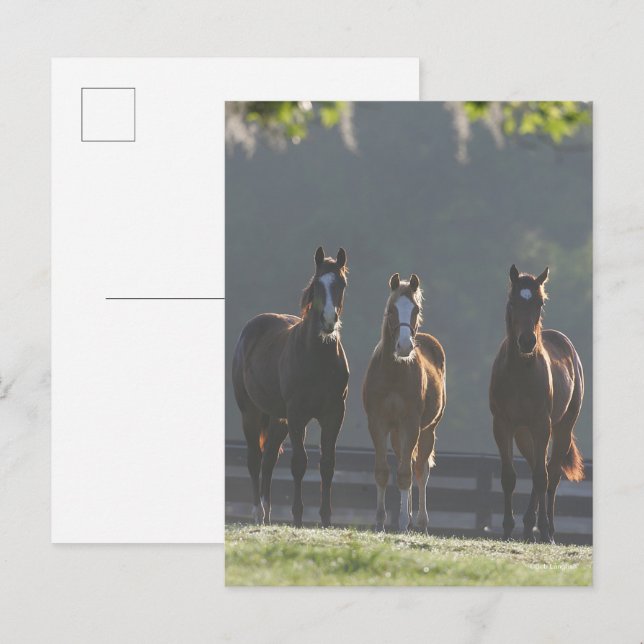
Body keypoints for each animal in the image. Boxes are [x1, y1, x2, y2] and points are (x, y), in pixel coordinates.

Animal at [232, 246, 349, 528]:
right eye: (317, 284)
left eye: (341, 284)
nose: (328, 320)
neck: (318, 358)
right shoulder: (298, 415)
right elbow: (299, 463)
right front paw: (297, 517)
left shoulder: (334, 414)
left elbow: (327, 464)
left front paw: (326, 519)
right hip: (251, 413)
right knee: (255, 460)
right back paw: (257, 513)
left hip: (277, 419)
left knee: (269, 460)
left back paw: (267, 514)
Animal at [363, 273, 446, 532]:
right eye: (391, 310)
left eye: (416, 309)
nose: (405, 346)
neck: (393, 373)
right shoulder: (378, 423)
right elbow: (382, 471)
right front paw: (380, 521)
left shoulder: (411, 424)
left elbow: (406, 475)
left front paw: (400, 523)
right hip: (398, 432)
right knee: (405, 461)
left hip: (427, 430)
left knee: (420, 470)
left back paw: (419, 522)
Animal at [489, 265, 584, 543]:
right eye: (512, 301)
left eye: (540, 302)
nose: (527, 341)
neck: (520, 373)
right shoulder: (502, 424)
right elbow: (509, 476)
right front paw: (507, 528)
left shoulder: (542, 425)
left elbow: (542, 478)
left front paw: (541, 529)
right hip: (523, 433)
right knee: (536, 466)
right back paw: (527, 525)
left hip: (561, 428)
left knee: (550, 475)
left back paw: (547, 529)